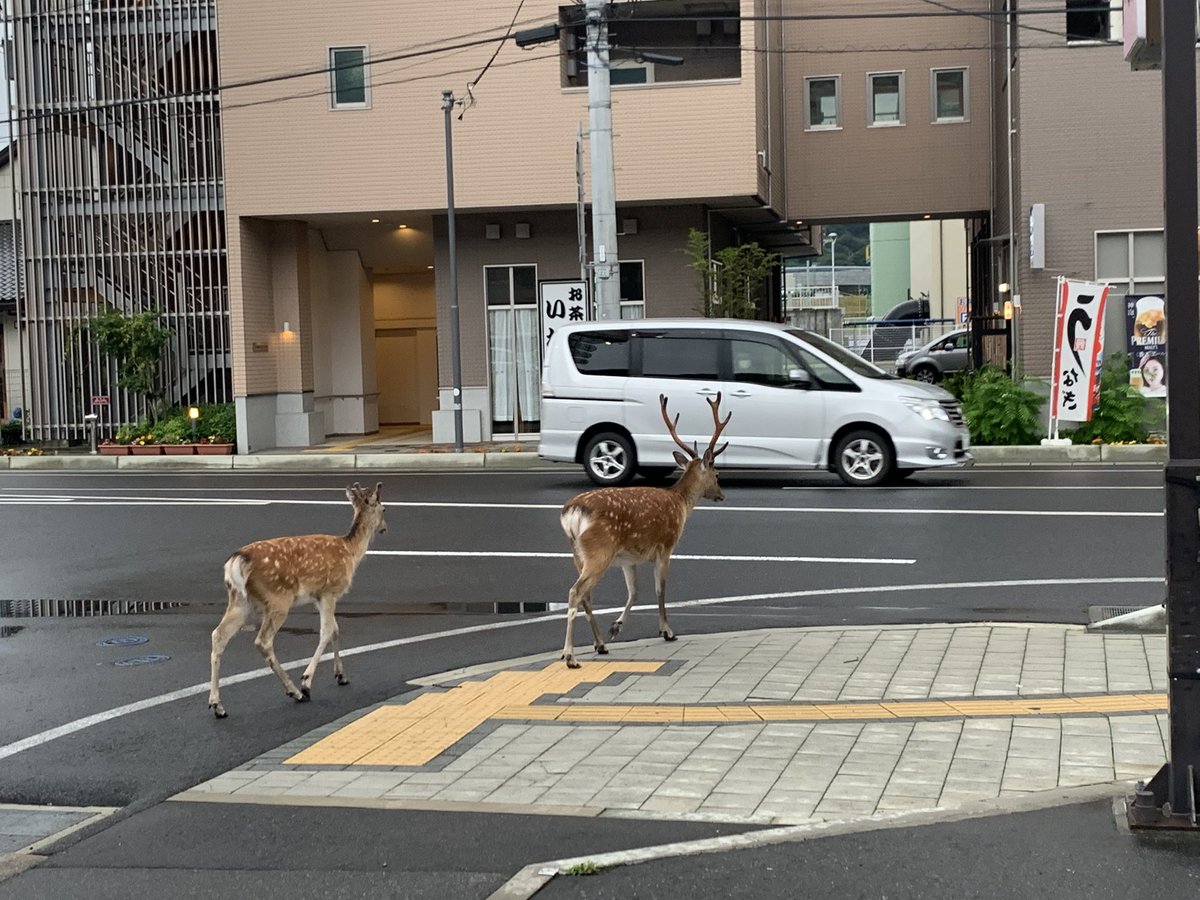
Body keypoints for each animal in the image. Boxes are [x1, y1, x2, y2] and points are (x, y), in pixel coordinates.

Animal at [207, 482, 387, 718]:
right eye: (384, 509)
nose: (385, 527)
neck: (350, 552)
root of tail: (236, 562)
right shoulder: (330, 591)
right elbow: (326, 631)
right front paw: (307, 682)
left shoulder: (319, 596)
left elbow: (335, 630)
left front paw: (341, 675)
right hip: (277, 599)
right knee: (263, 641)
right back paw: (295, 692)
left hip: (239, 601)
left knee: (218, 635)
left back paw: (217, 705)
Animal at [558, 393, 731, 668]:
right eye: (717, 473)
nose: (721, 495)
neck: (680, 504)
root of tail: (573, 512)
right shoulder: (666, 546)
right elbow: (661, 589)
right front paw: (667, 631)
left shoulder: (629, 558)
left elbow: (634, 593)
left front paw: (616, 627)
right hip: (599, 550)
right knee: (576, 591)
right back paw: (570, 655)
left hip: (577, 553)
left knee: (586, 595)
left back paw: (600, 644)